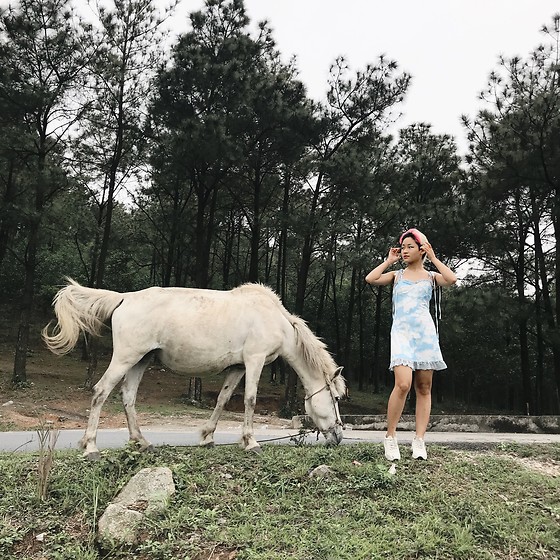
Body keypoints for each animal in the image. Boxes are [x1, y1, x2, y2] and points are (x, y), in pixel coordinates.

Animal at [42, 279, 346, 459]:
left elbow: (223, 399)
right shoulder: (254, 361)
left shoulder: (237, 367)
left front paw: (207, 437)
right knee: (101, 392)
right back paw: (91, 446)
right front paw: (250, 441)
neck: (275, 319)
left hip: (142, 360)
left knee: (128, 397)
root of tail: (124, 298)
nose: (339, 436)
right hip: (126, 358)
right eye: (335, 398)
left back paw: (141, 442)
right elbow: (250, 400)